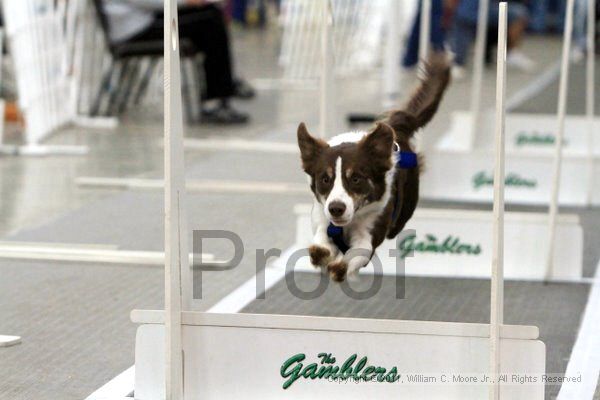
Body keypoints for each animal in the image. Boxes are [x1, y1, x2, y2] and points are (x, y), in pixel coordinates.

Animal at [296, 55, 450, 282]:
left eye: (356, 178)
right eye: (325, 179)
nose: (336, 208)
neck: (350, 221)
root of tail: (397, 127)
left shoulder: (371, 229)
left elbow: (359, 252)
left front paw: (339, 267)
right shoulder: (321, 216)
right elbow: (320, 240)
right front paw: (323, 253)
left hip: (402, 214)